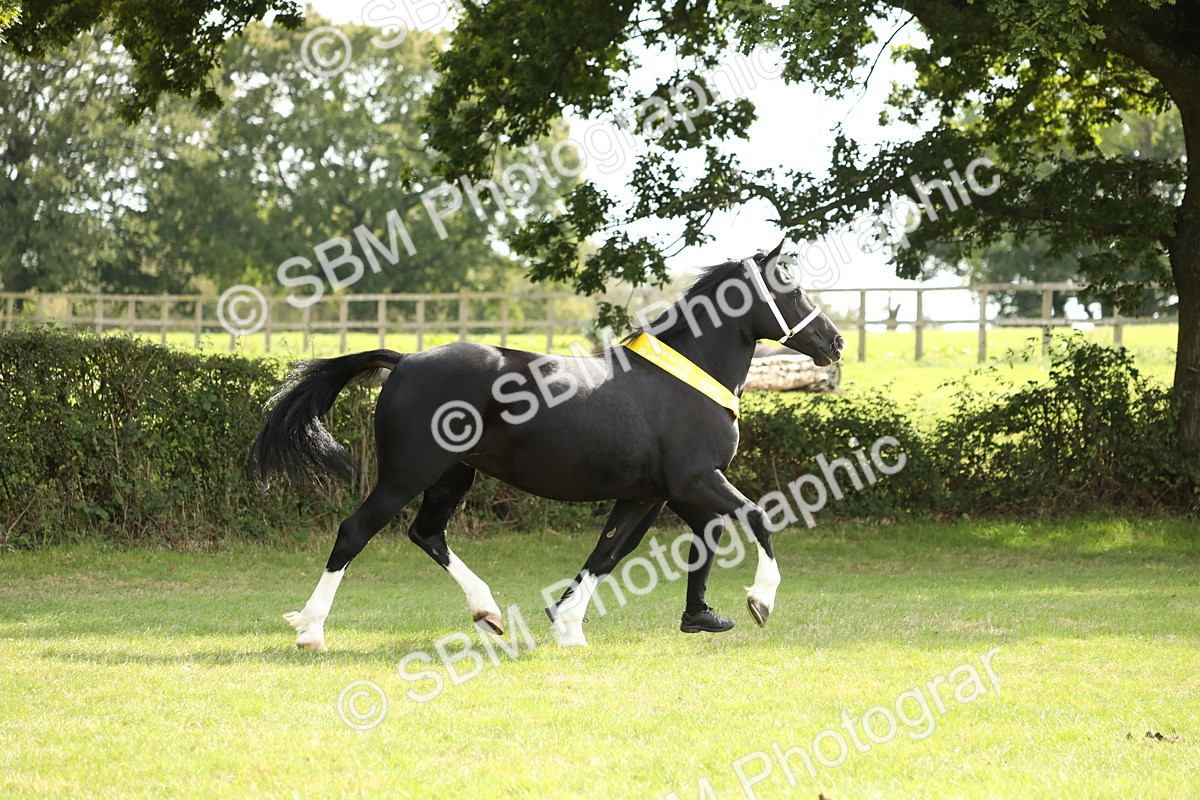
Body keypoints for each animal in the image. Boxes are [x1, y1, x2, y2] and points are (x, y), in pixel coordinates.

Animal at [251, 241, 844, 649]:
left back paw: (487, 611)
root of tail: (405, 359)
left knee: (427, 533)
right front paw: (759, 600)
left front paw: (576, 624)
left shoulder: (652, 494)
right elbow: (757, 517)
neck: (685, 378)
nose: (835, 342)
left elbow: (614, 551)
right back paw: (310, 630)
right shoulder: (696, 480)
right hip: (407, 474)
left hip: (453, 475)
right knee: (355, 532)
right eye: (790, 288)